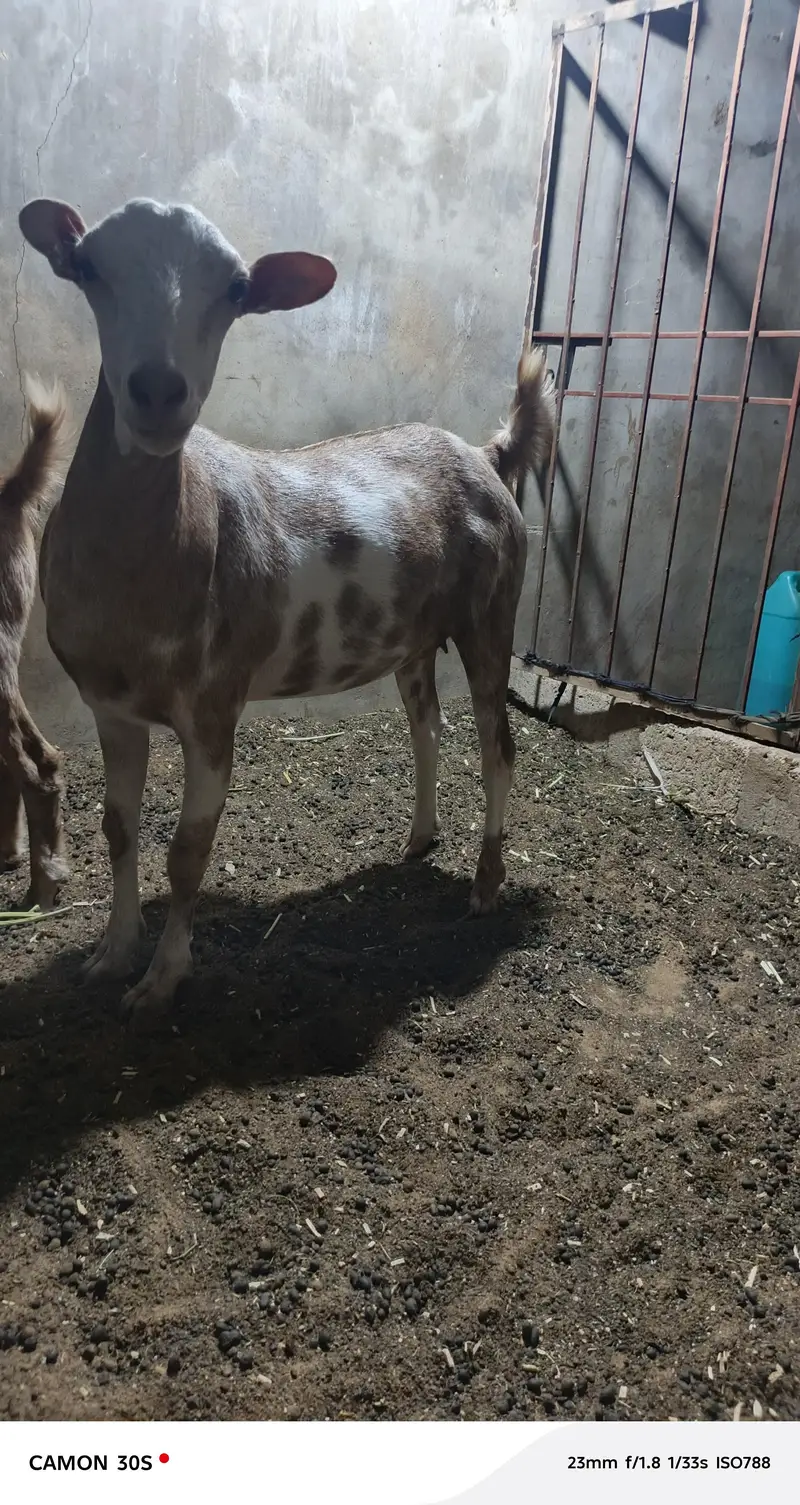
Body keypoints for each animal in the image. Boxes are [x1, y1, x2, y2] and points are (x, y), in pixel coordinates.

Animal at [19, 196, 554, 1020]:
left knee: (499, 745)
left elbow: (187, 852)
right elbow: (118, 829)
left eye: (237, 290)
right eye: (88, 267)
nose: (157, 391)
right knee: (426, 728)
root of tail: (486, 456)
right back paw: (418, 837)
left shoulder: (213, 704)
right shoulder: (111, 705)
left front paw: (162, 980)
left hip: (492, 612)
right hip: (412, 635)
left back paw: (486, 885)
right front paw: (110, 955)